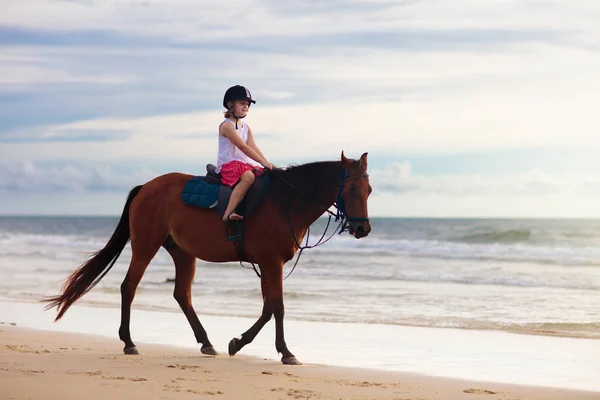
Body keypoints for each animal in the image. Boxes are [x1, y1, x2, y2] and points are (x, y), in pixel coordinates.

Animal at [44, 152, 370, 364]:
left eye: (368, 189)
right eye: (351, 188)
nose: (363, 229)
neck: (285, 203)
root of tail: (146, 187)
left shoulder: (267, 264)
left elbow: (267, 308)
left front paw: (238, 343)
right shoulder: (271, 262)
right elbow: (277, 307)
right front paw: (285, 352)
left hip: (182, 252)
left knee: (182, 295)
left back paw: (206, 342)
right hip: (145, 246)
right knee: (129, 287)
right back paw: (128, 342)